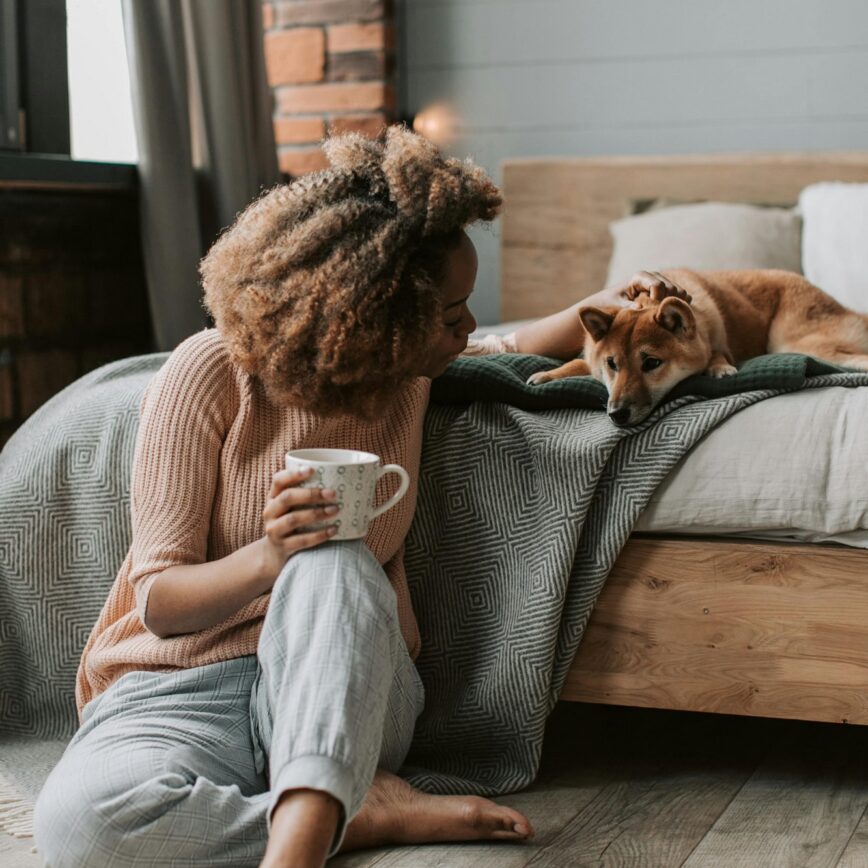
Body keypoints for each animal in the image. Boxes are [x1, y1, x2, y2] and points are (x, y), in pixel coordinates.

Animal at [528, 268, 868, 424]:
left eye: (651, 363)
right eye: (612, 365)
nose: (617, 414)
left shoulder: (716, 339)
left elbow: (716, 352)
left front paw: (720, 367)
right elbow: (578, 363)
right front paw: (547, 374)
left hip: (792, 342)